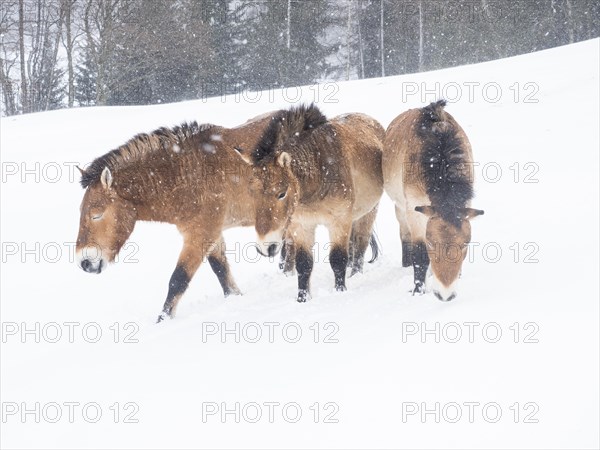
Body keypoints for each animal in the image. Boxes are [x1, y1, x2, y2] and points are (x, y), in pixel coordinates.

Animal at [75, 112, 282, 324]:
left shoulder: (200, 235)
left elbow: (178, 279)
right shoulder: (212, 235)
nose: (84, 263)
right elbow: (221, 271)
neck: (188, 173)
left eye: (96, 215)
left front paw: (162, 321)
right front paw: (235, 297)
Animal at [236, 103, 384, 302]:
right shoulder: (302, 226)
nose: (265, 247)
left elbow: (337, 259)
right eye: (251, 193)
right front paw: (302, 299)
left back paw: (355, 275)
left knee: (360, 246)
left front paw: (340, 291)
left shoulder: (339, 221)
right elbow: (303, 265)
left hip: (368, 213)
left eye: (281, 194)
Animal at [384, 100, 482, 300]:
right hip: (400, 208)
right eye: (430, 243)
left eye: (465, 245)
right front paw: (418, 290)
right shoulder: (414, 211)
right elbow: (420, 255)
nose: (445, 295)